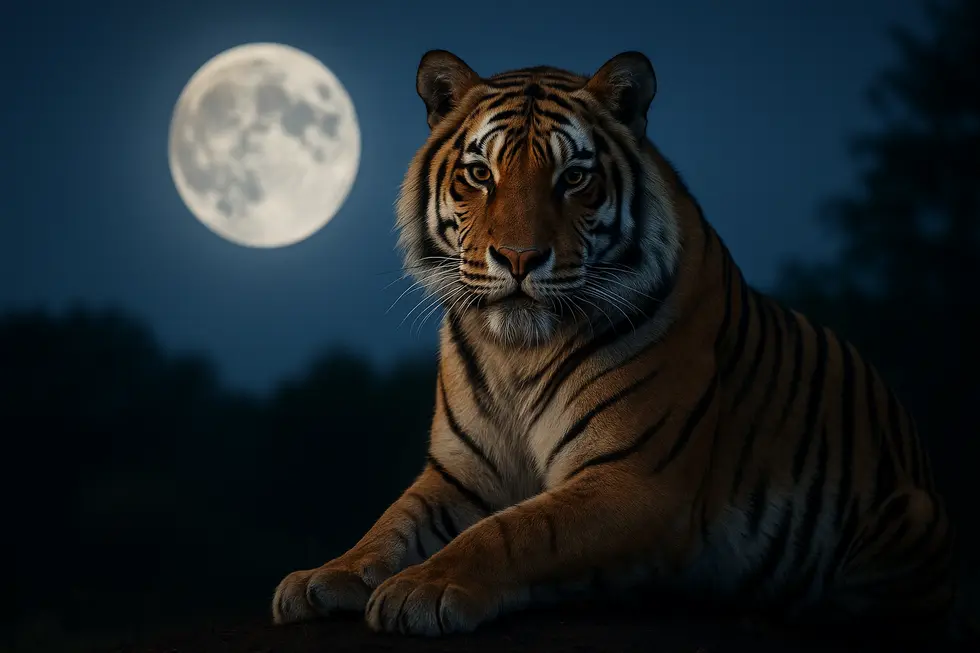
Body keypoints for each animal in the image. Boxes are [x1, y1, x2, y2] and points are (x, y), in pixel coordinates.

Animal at [271, 50, 960, 641]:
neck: (517, 352)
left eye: (574, 177)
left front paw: (424, 588)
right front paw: (322, 577)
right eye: (480, 174)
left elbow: (514, 532)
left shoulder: (631, 479)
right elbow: (391, 525)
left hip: (910, 518)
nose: (518, 259)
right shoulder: (458, 473)